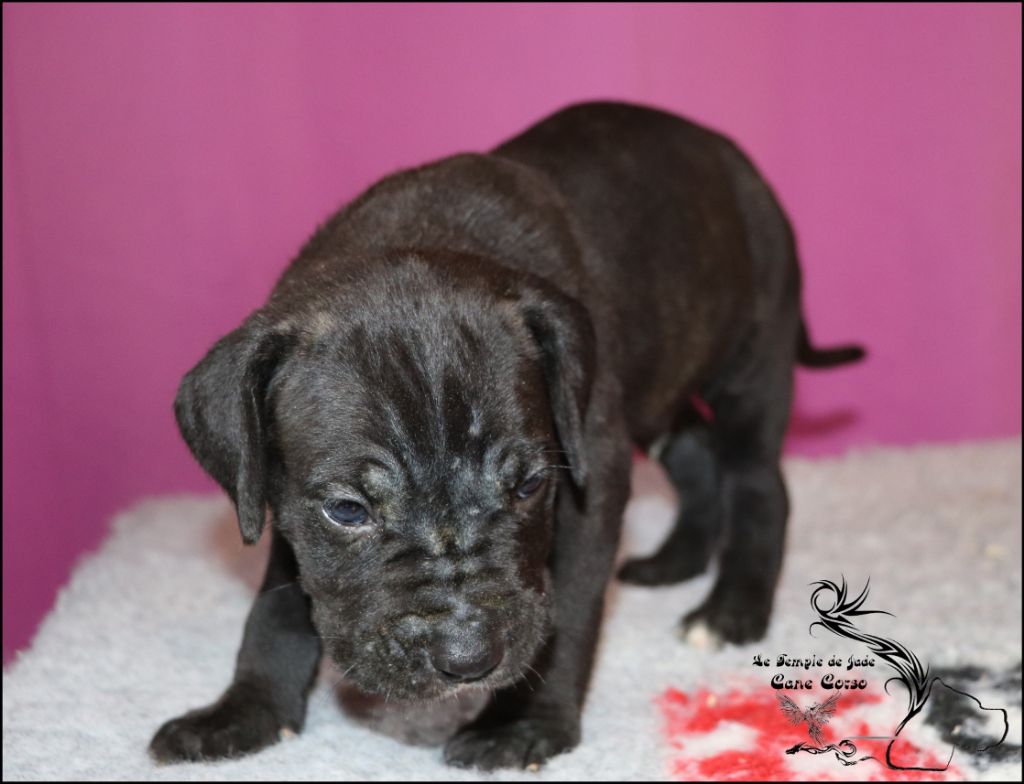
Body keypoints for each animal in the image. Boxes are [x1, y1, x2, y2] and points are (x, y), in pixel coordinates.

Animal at [149, 101, 863, 770]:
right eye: (348, 511)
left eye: (528, 487)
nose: (468, 659)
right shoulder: (280, 494)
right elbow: (276, 605)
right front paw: (245, 712)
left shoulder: (590, 479)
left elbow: (567, 608)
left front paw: (522, 723)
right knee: (696, 455)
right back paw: (673, 561)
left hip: (752, 362)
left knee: (757, 481)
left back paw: (732, 608)